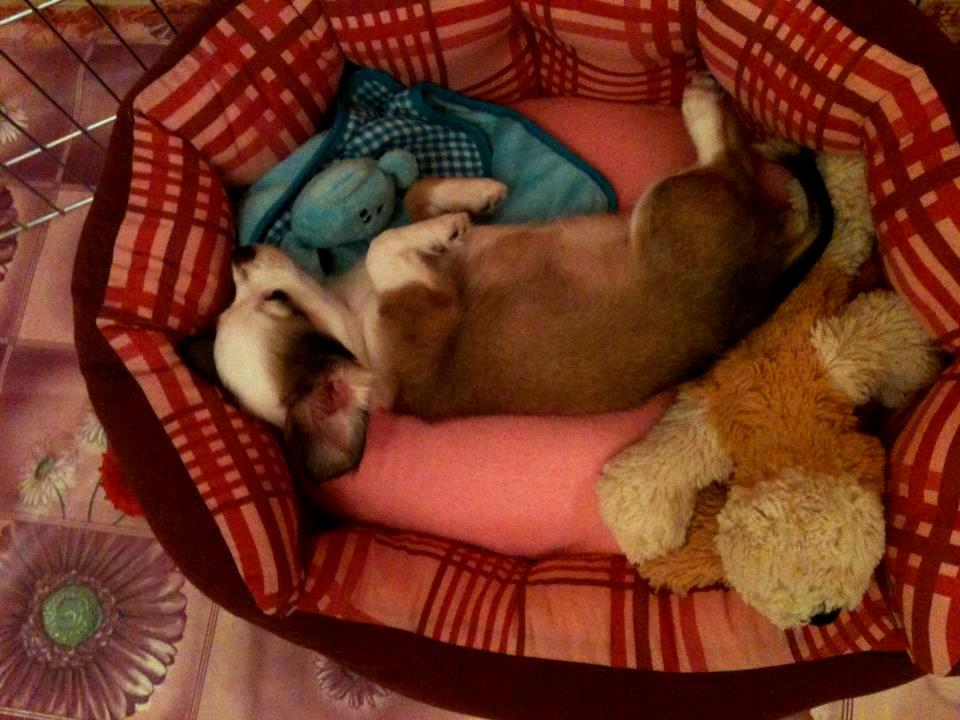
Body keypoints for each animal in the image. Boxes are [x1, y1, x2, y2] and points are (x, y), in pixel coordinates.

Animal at [179, 78, 833, 486]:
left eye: (268, 296)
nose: (239, 250)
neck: (354, 318)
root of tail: (766, 279)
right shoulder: (426, 302)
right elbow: (384, 245)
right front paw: (446, 227)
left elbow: (411, 202)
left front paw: (472, 198)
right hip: (673, 206)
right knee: (732, 161)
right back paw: (701, 105)